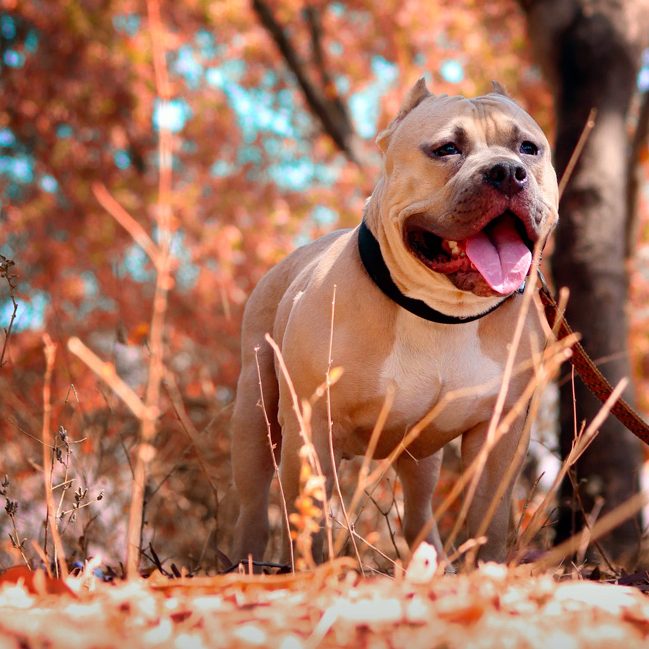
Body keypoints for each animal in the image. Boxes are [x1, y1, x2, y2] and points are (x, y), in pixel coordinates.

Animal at [230, 79, 560, 568]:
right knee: (252, 505)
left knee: (418, 512)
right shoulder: (313, 426)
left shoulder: (499, 435)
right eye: (447, 149)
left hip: (422, 461)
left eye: (528, 148)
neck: (440, 312)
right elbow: (309, 520)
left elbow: (489, 519)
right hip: (257, 421)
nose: (507, 171)